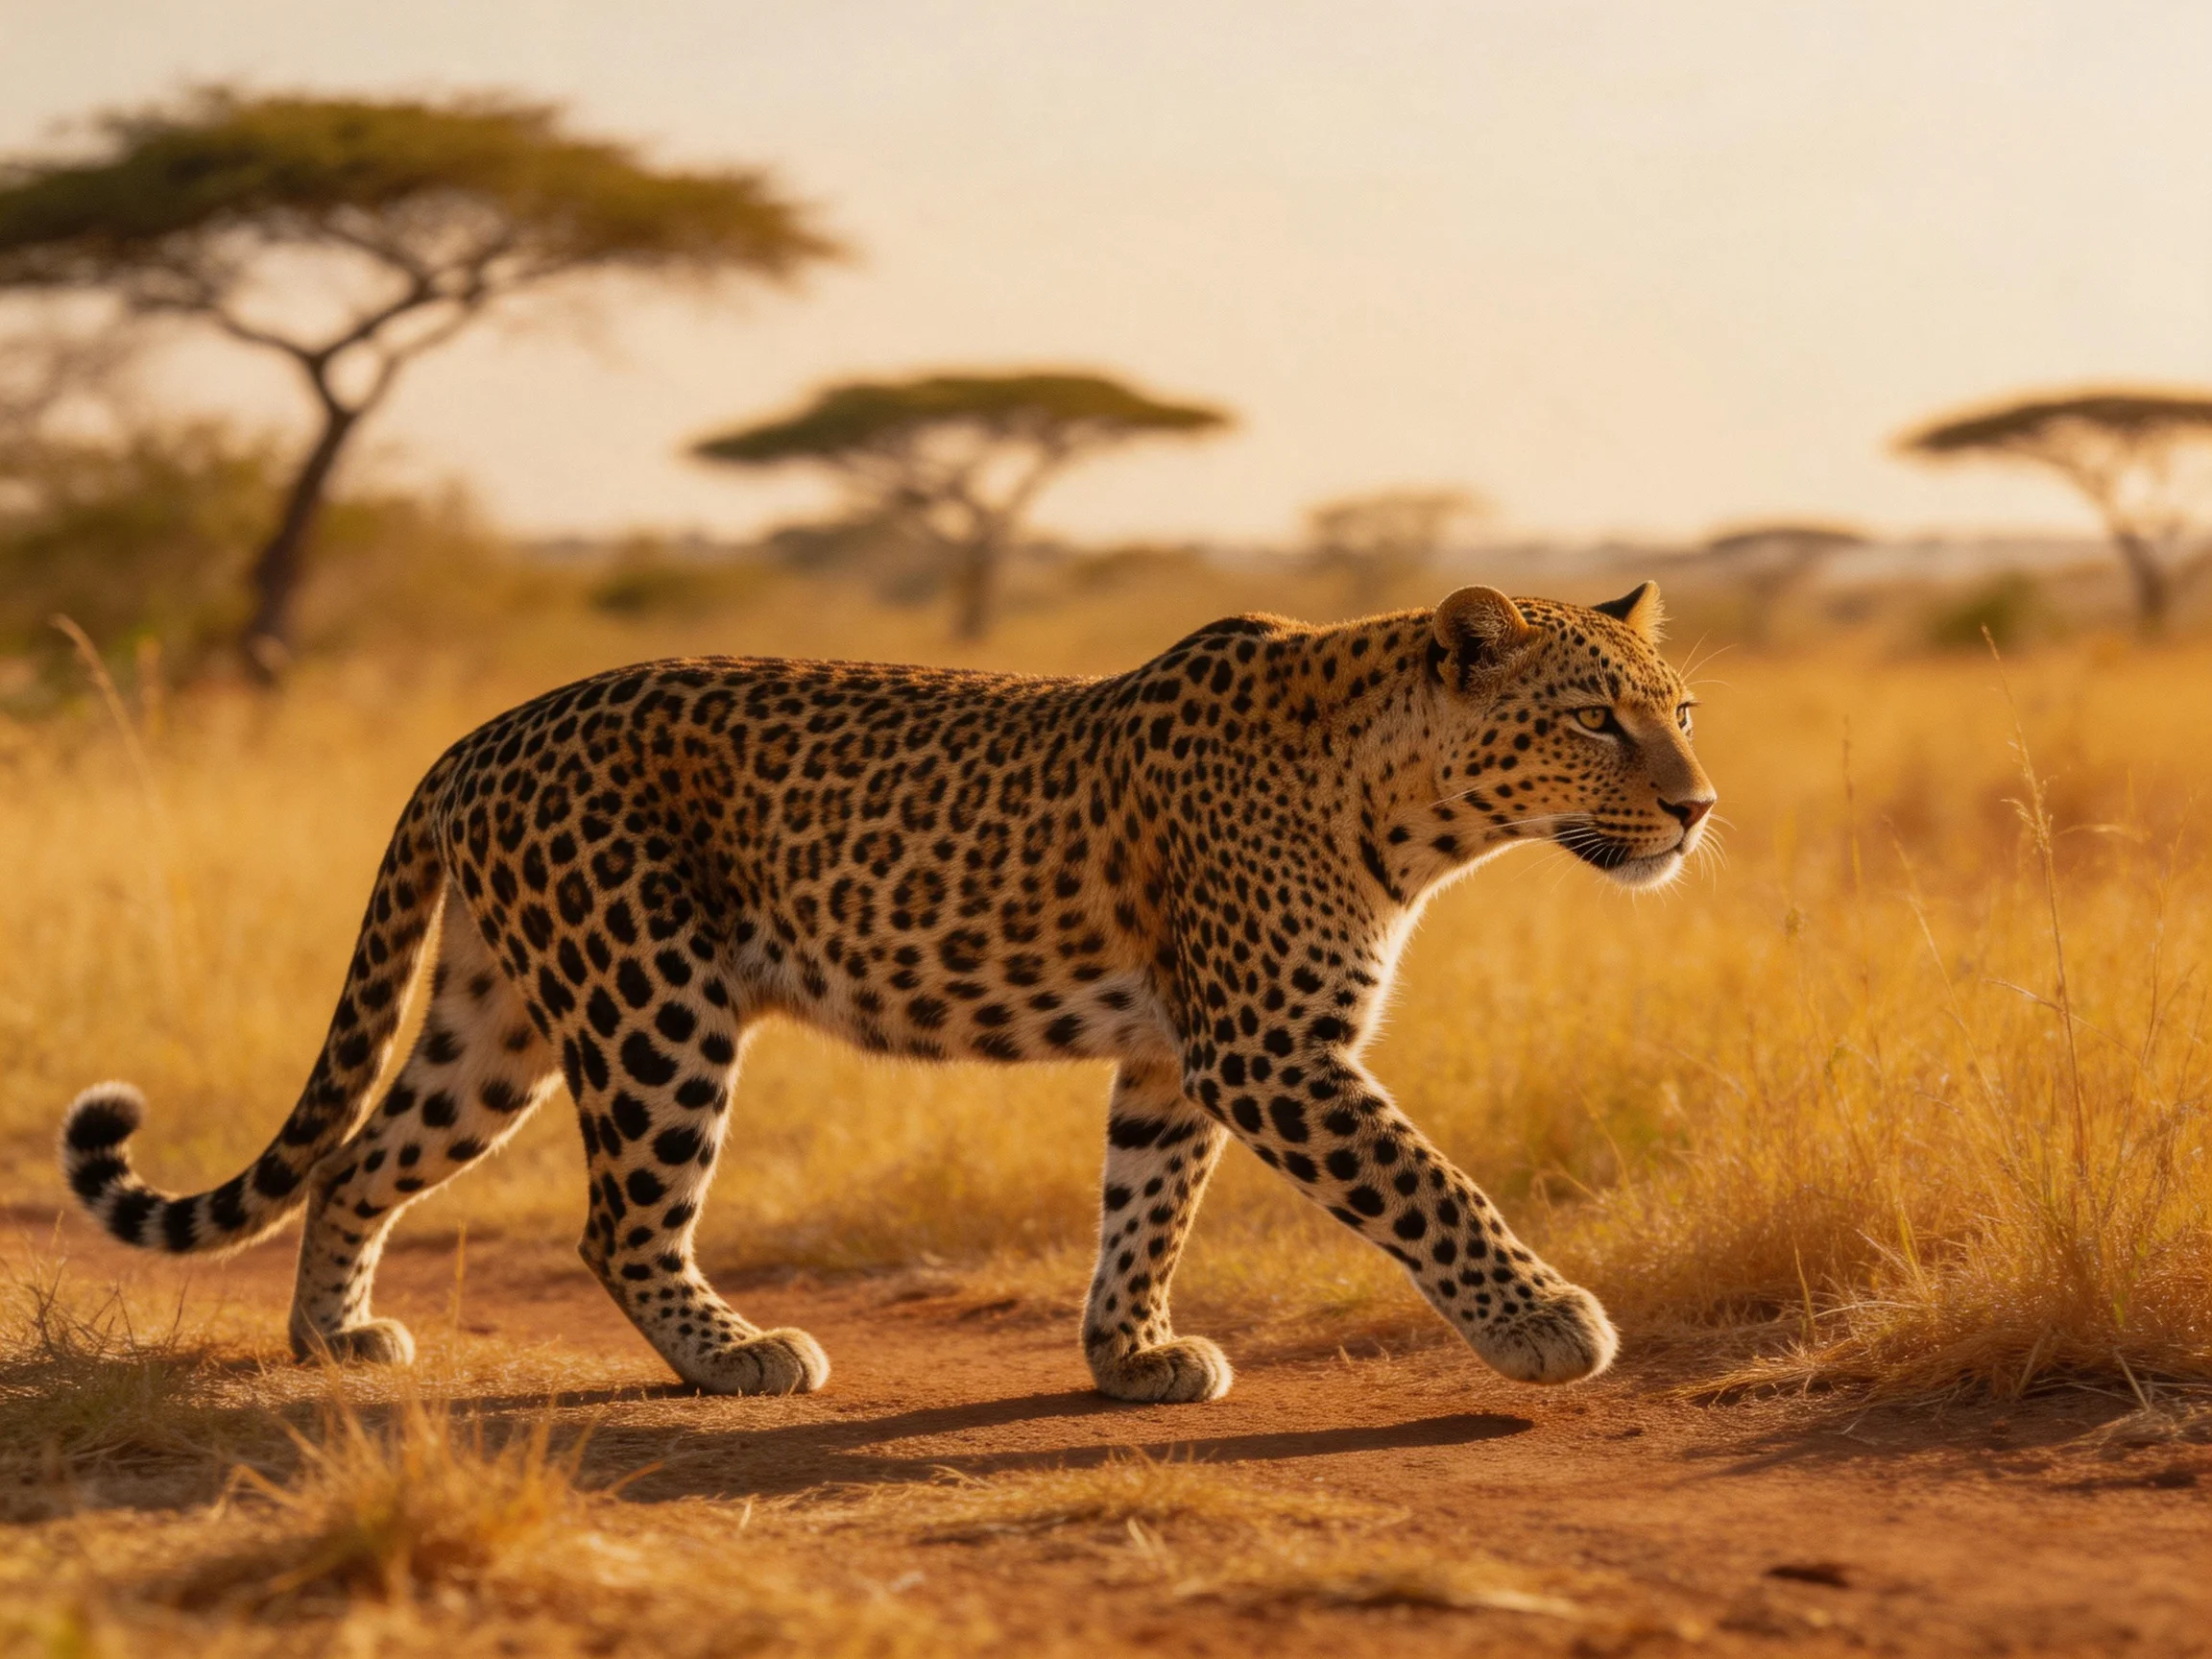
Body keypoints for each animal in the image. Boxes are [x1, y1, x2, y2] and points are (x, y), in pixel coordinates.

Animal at [60, 581, 1714, 1403]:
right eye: (1595, 718)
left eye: (1683, 709)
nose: (1700, 809)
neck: (1411, 807)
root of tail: (478, 736)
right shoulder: (1269, 1049)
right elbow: (1433, 1186)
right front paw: (1546, 1323)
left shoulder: (1179, 1061)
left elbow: (1147, 1207)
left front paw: (1131, 1354)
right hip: (653, 1003)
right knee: (618, 1223)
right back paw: (737, 1358)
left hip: (499, 1019)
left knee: (357, 1157)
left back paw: (329, 1341)